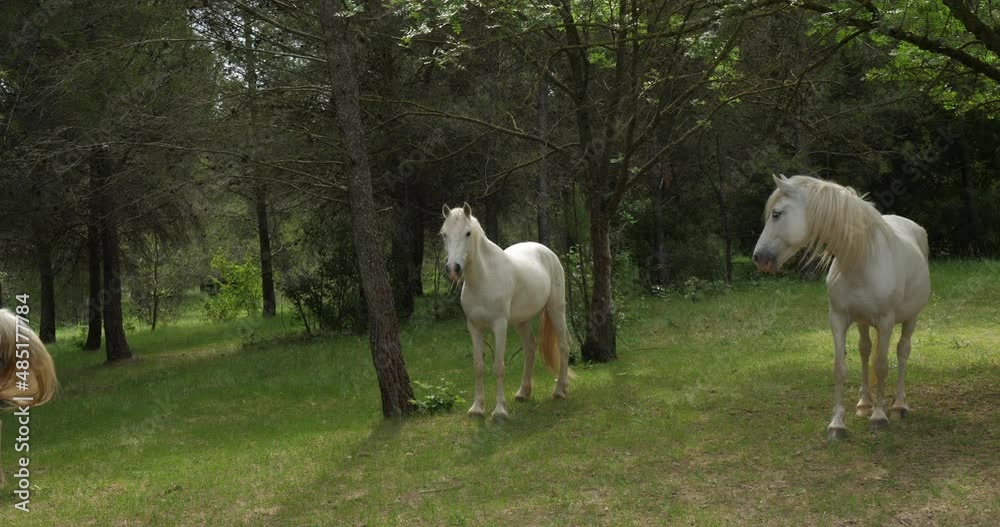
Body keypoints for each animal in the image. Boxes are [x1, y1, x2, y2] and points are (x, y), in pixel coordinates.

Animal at [440, 203, 573, 419]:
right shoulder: (474, 327)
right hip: (521, 321)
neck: (483, 279)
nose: (453, 269)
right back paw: (523, 392)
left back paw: (560, 390)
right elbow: (478, 366)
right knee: (530, 347)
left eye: (468, 233)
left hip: (555, 310)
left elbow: (499, 367)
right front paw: (477, 408)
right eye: (444, 234)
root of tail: (547, 252)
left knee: (563, 345)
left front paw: (500, 411)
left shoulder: (499, 325)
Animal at [753, 175, 930, 439]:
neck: (860, 258)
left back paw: (899, 405)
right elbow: (840, 367)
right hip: (863, 322)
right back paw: (864, 403)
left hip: (911, 318)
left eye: (776, 214)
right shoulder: (837, 319)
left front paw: (879, 417)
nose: (758, 258)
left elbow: (882, 365)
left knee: (902, 351)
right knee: (865, 350)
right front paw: (837, 424)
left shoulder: (886, 321)